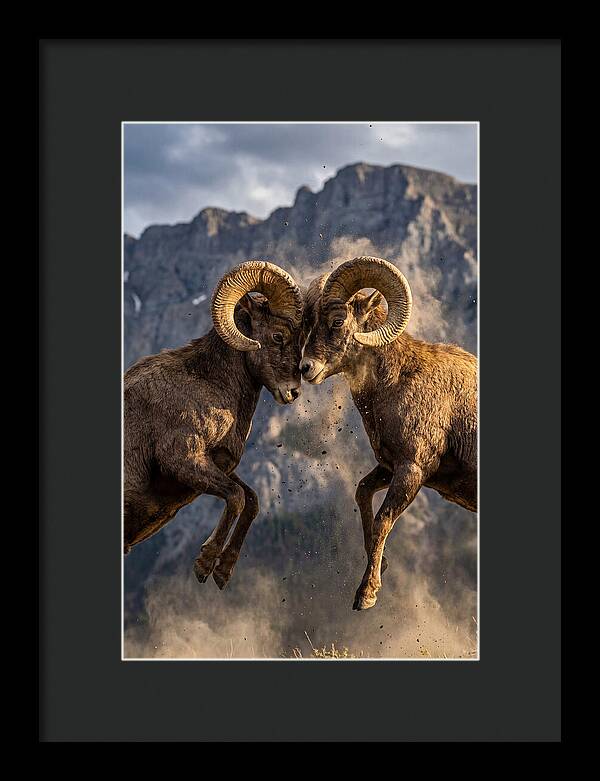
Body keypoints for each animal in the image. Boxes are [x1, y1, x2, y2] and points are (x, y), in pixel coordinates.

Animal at [124, 261, 304, 589]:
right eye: (277, 336)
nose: (293, 392)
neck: (209, 383)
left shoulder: (218, 465)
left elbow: (251, 500)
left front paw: (222, 572)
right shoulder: (183, 460)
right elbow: (236, 497)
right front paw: (205, 564)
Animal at [300, 256, 477, 610]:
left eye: (337, 321)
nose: (305, 368)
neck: (397, 381)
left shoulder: (412, 470)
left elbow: (383, 520)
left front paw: (366, 595)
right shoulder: (388, 467)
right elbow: (362, 493)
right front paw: (380, 566)